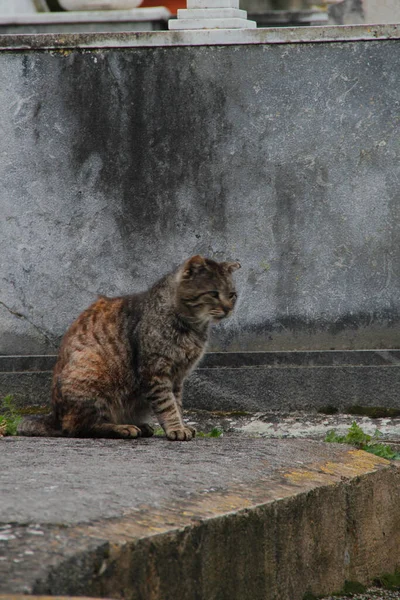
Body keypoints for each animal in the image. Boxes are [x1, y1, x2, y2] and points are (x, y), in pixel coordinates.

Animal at [18, 254, 239, 440]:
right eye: (213, 293)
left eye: (232, 295)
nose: (229, 309)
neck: (193, 327)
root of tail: (53, 417)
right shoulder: (155, 371)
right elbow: (167, 405)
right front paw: (176, 428)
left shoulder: (178, 377)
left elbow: (177, 403)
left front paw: (182, 425)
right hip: (92, 373)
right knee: (82, 427)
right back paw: (122, 428)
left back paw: (140, 426)